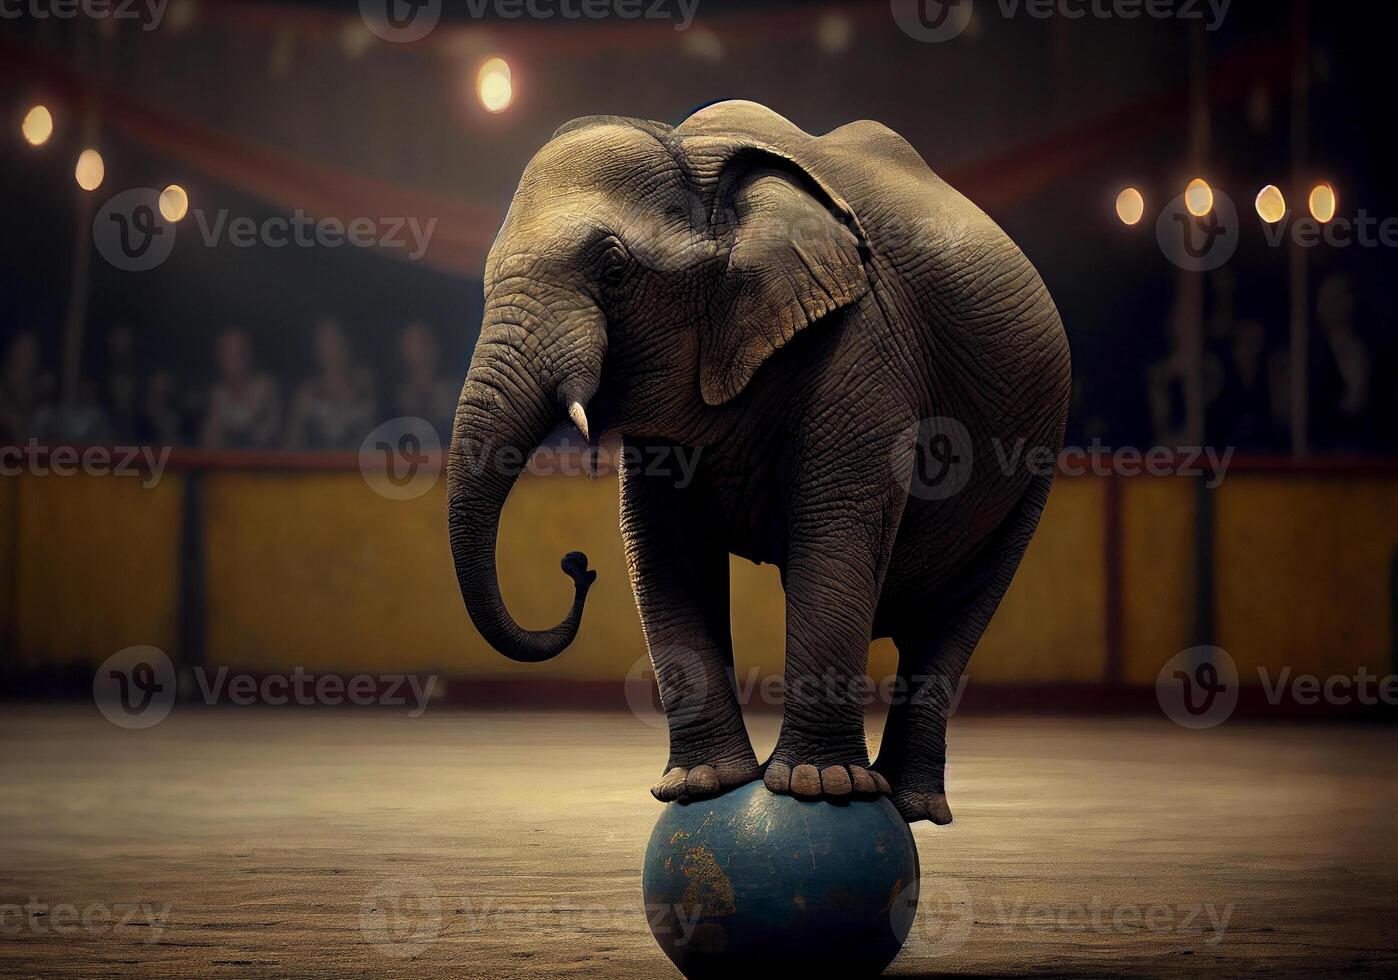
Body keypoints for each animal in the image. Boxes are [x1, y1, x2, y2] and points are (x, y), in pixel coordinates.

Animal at [447, 99, 1068, 822]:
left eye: (614, 269)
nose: (578, 566)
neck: (696, 154)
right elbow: (662, 547)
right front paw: (701, 788)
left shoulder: (864, 341)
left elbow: (836, 527)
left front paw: (820, 790)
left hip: (1037, 459)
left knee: (958, 616)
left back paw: (909, 806)